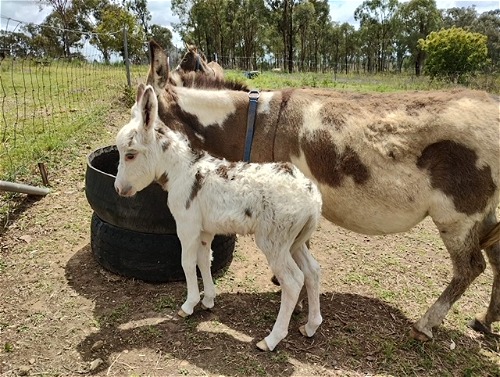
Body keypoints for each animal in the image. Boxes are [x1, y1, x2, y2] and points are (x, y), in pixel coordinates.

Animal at [114, 83, 324, 352]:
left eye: (130, 155)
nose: (119, 189)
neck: (182, 171)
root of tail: (312, 196)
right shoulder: (205, 231)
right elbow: (205, 261)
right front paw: (208, 300)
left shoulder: (187, 227)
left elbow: (187, 263)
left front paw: (188, 305)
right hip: (295, 241)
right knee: (312, 271)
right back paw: (310, 327)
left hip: (273, 242)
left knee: (293, 281)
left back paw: (271, 339)